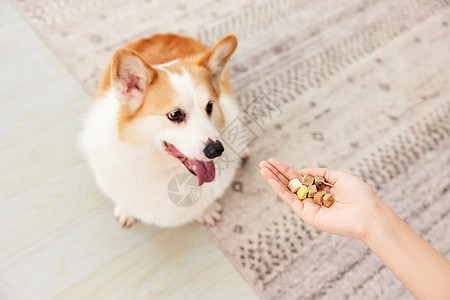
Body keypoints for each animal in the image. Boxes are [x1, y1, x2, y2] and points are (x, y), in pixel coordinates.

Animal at [79, 33, 244, 227]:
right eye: (175, 115)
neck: (162, 167)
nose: (216, 150)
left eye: (210, 106)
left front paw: (207, 211)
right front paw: (126, 211)